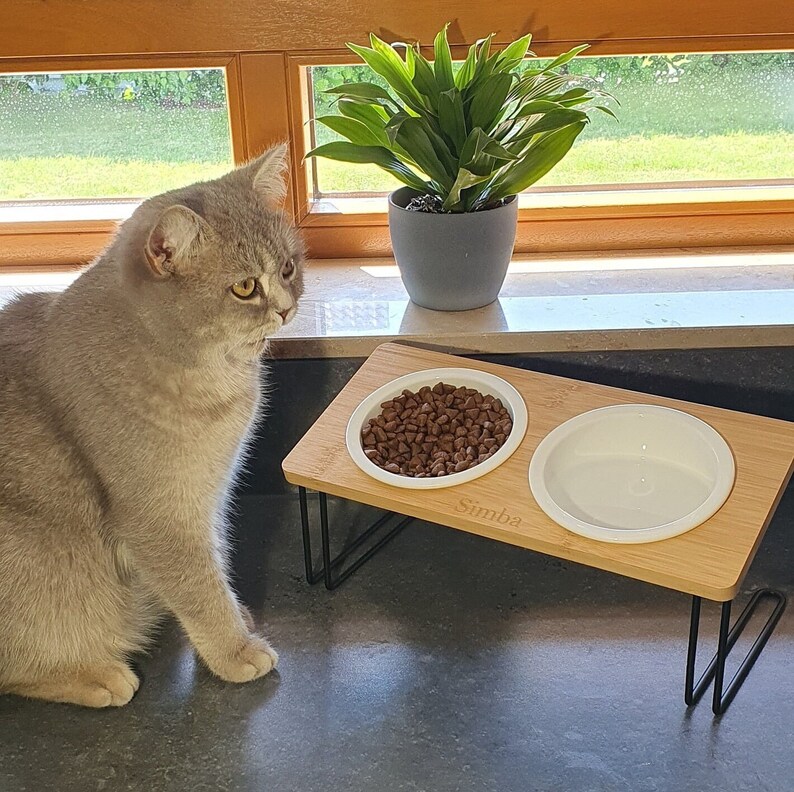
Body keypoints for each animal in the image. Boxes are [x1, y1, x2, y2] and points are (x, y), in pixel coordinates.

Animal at [0, 142, 304, 704]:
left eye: (290, 267)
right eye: (245, 287)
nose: (287, 309)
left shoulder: (207, 496)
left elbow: (214, 563)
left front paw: (236, 617)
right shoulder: (159, 515)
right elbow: (197, 585)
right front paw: (234, 648)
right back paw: (97, 675)